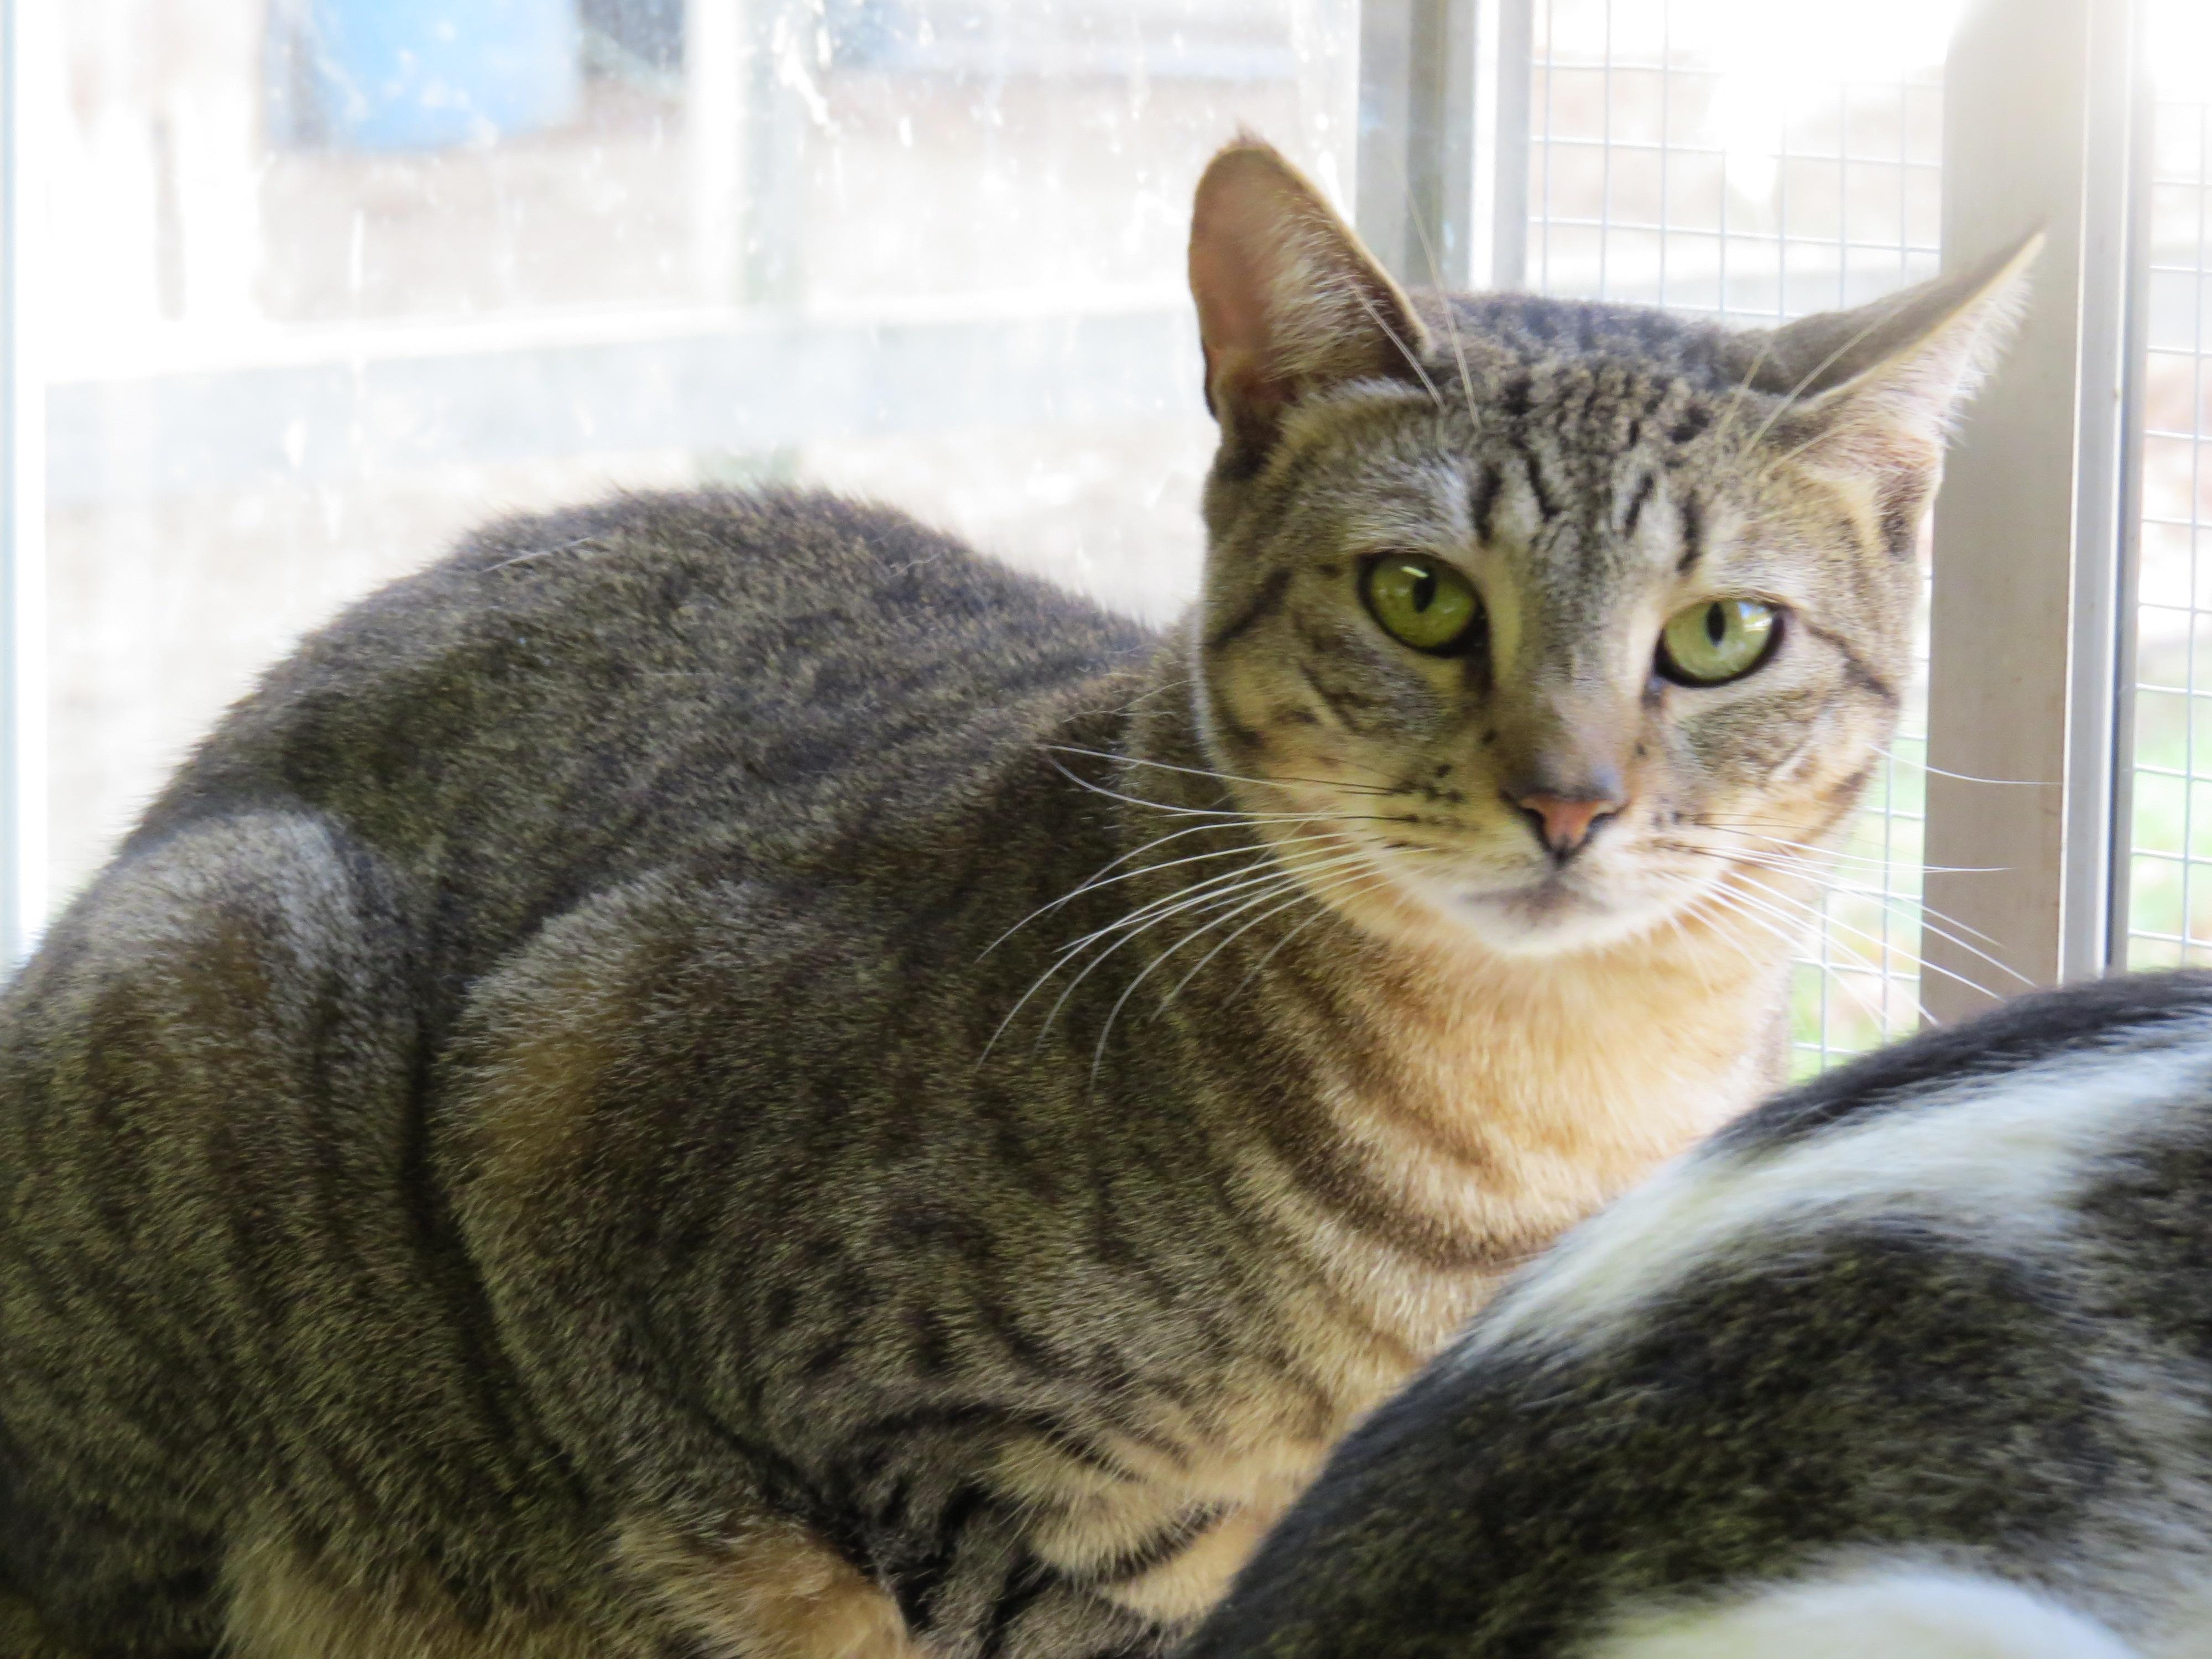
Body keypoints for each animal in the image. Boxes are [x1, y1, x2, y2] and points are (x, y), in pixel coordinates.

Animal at [0, 143, 2026, 1659]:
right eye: (1423, 598)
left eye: (1724, 635)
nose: (1571, 799)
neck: (1537, 1120)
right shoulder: (570, 1104)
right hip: (219, 976)